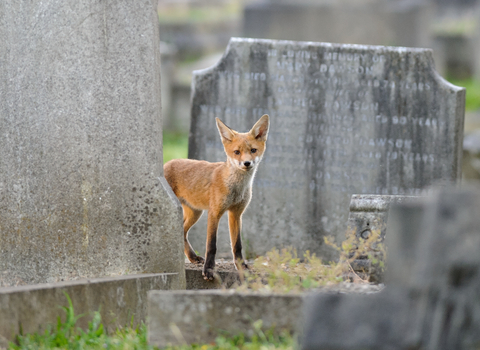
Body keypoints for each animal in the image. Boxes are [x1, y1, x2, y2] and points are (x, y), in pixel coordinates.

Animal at [165, 116, 270, 280]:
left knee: (182, 232)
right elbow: (211, 245)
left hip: (195, 213)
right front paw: (209, 269)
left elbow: (237, 245)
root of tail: (165, 163)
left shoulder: (235, 214)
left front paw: (241, 267)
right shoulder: (214, 212)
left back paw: (192, 257)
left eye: (253, 150)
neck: (236, 189)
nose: (247, 163)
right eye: (237, 152)